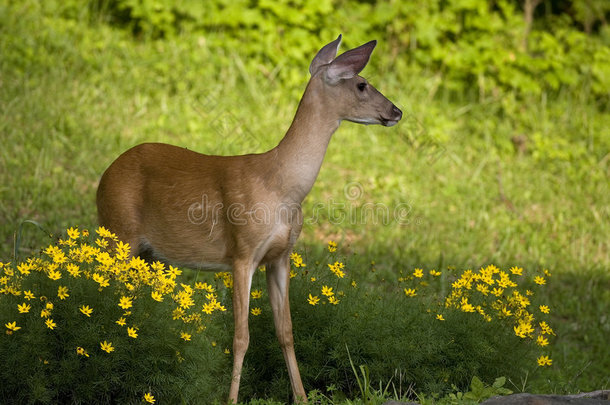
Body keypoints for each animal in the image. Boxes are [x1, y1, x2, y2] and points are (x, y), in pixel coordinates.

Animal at [97, 34, 402, 400]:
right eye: (361, 84)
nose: (397, 111)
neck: (281, 188)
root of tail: (104, 176)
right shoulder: (242, 252)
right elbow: (241, 337)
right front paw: (230, 399)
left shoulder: (281, 256)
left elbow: (286, 332)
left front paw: (302, 397)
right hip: (118, 230)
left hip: (146, 251)